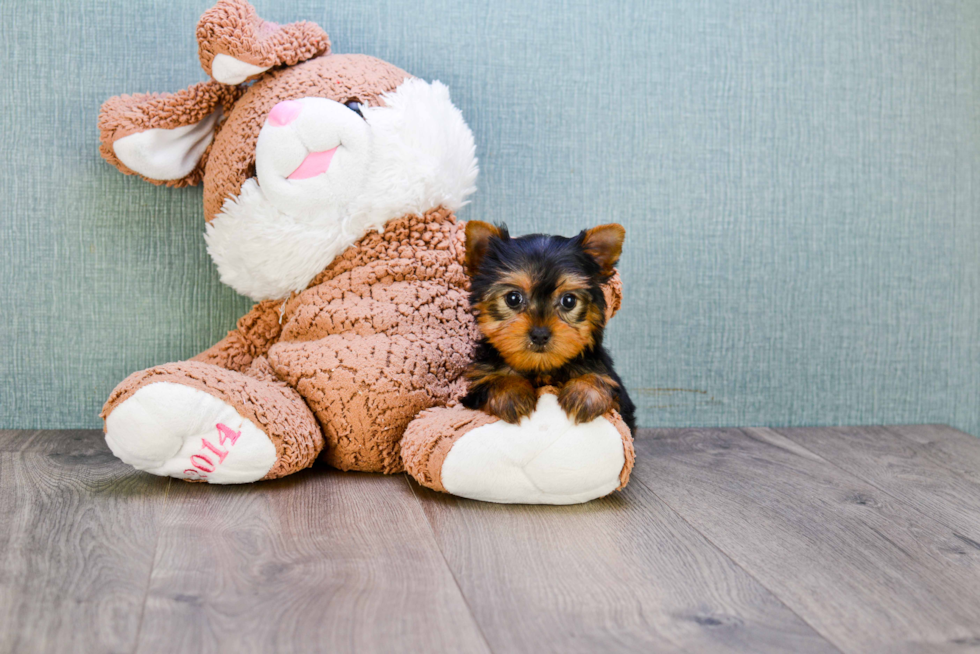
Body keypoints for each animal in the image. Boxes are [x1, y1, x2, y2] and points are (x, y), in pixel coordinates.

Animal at [460, 222, 636, 436]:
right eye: (513, 298)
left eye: (569, 301)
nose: (540, 335)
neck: (541, 368)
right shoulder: (477, 385)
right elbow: (493, 379)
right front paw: (511, 393)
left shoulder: (617, 394)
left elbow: (602, 383)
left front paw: (584, 393)